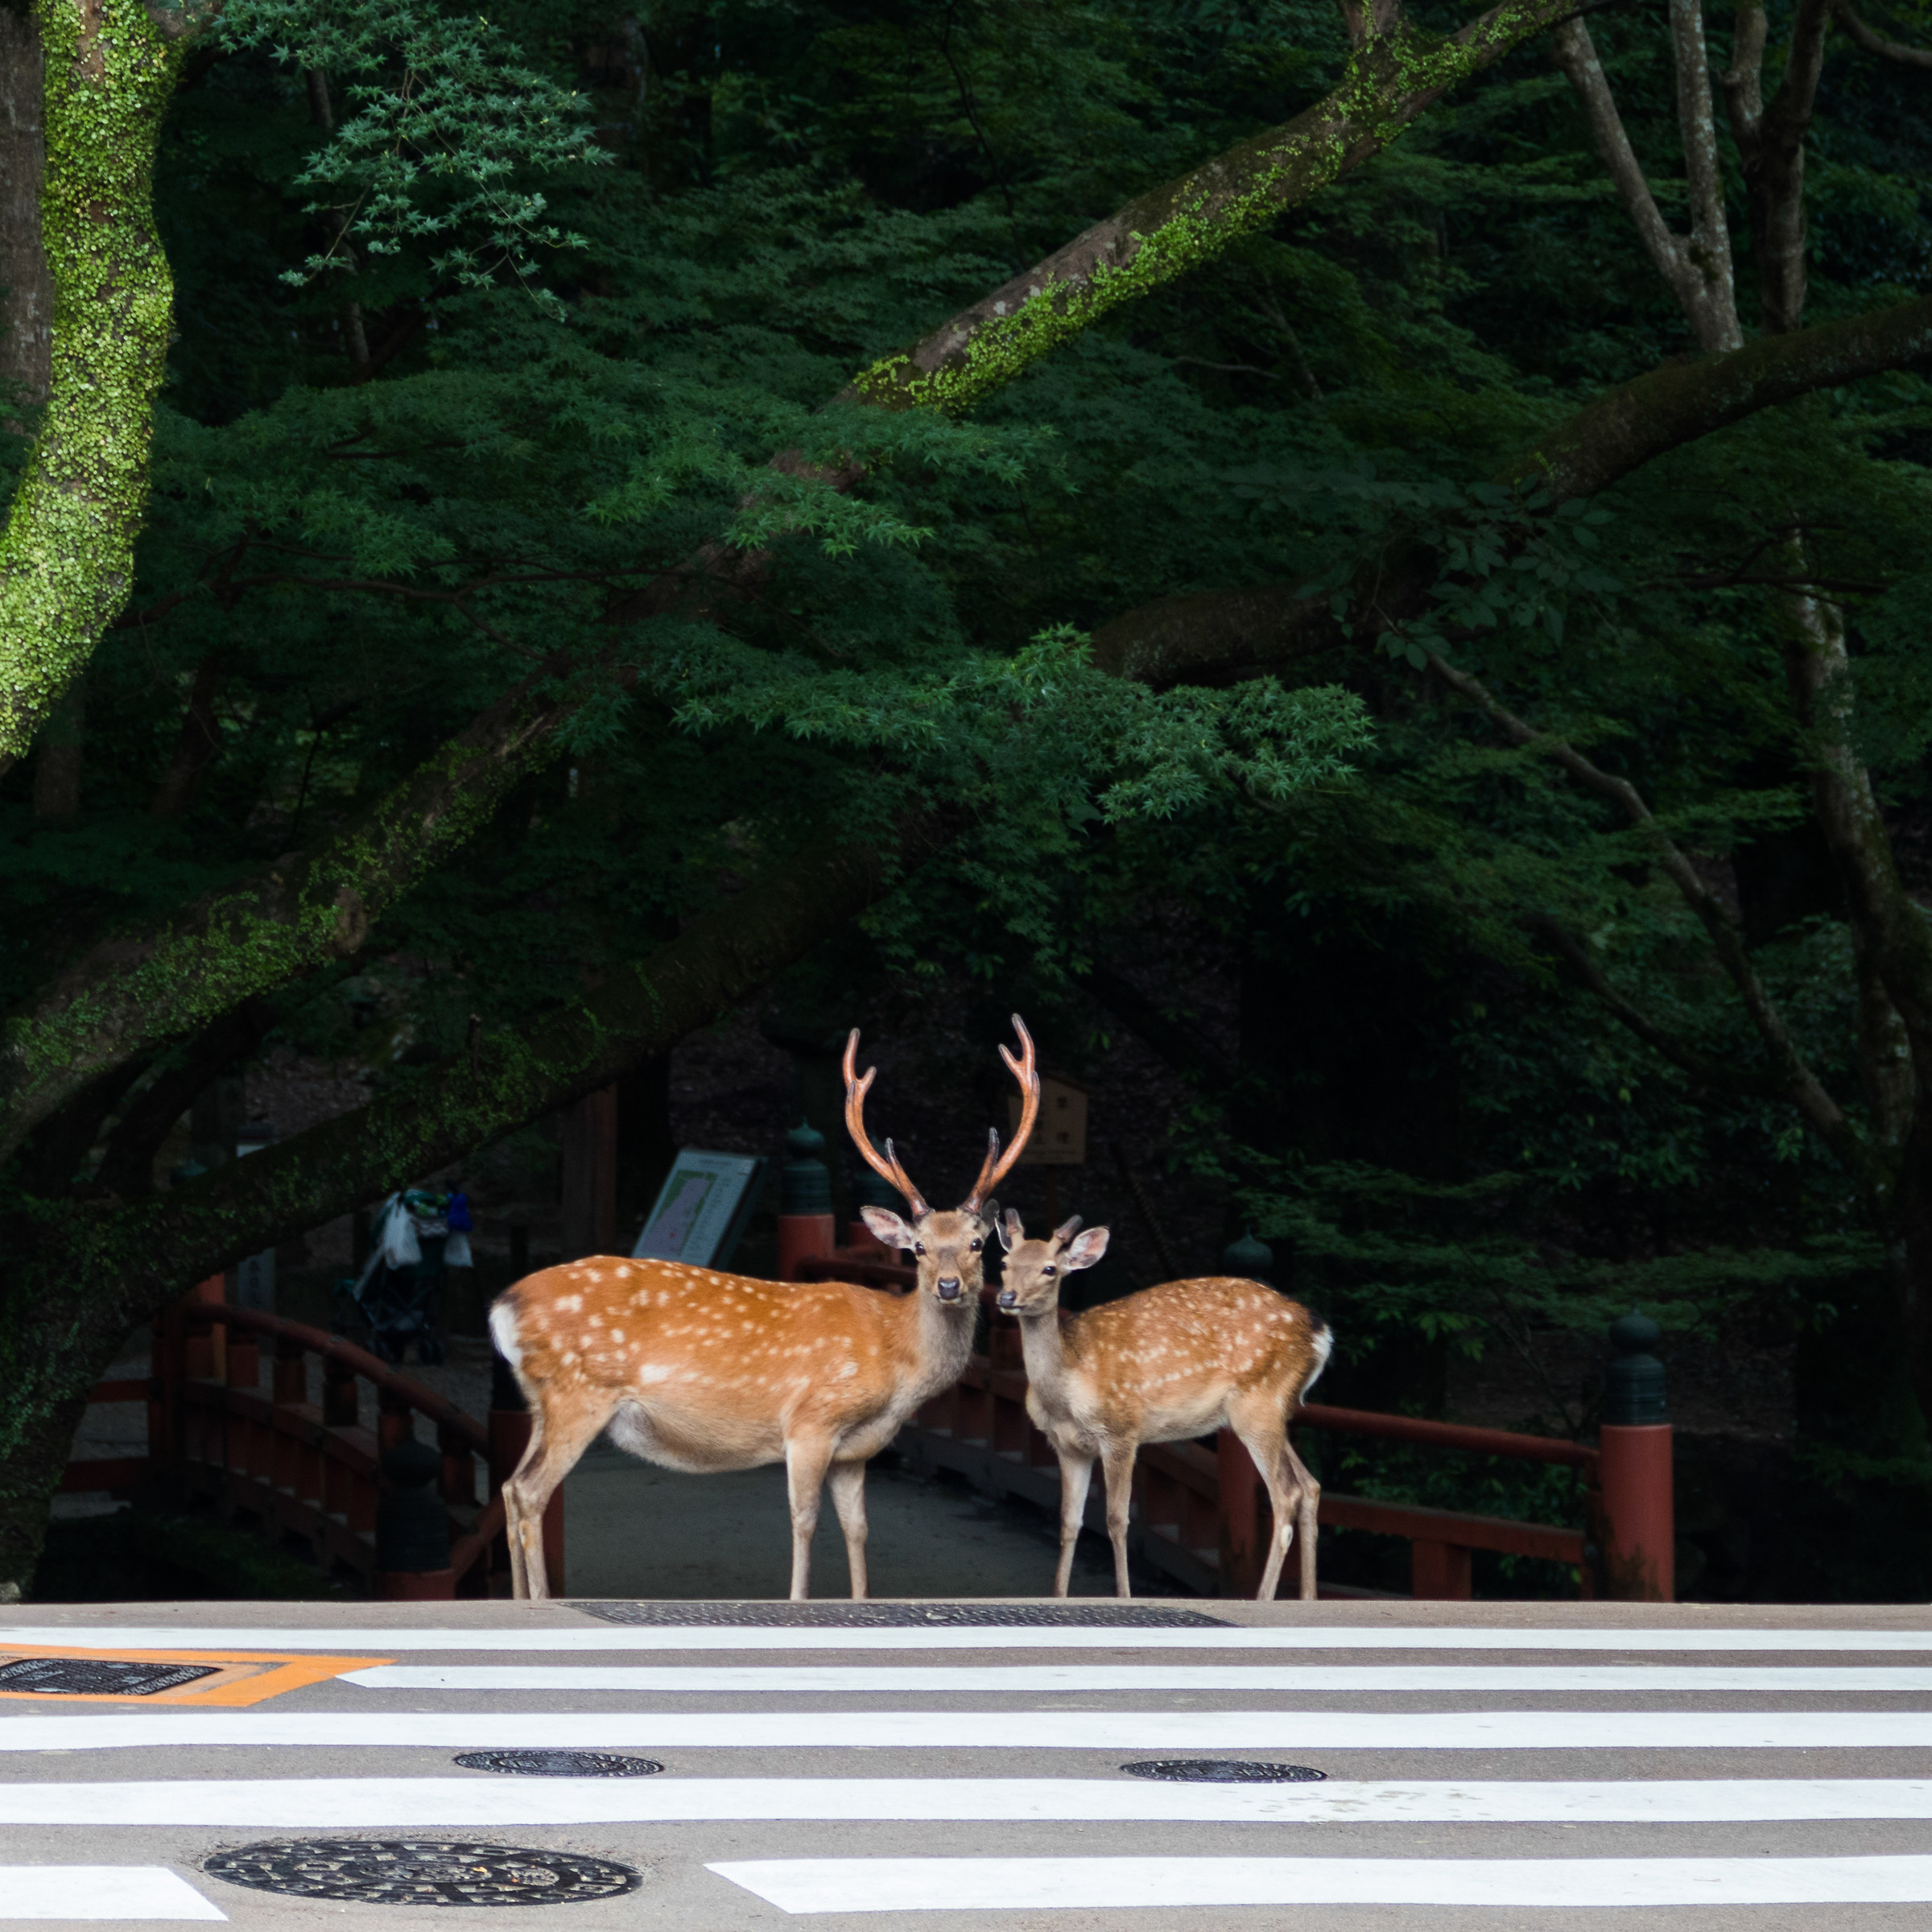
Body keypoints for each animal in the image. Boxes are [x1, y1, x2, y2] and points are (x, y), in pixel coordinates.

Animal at [488, 1016, 1041, 1601]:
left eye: (978, 1243)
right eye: (917, 1248)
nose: (950, 1286)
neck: (894, 1359)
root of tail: (502, 1308)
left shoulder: (855, 1452)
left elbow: (858, 1529)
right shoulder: (810, 1421)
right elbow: (803, 1521)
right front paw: (797, 1599)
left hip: (540, 1402)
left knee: (509, 1486)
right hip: (578, 1392)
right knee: (531, 1492)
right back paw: (538, 1602)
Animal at [991, 1211, 1332, 1601]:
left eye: (1050, 1269)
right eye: (1004, 1263)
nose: (1007, 1296)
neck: (1066, 1389)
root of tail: (1321, 1334)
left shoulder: (1121, 1431)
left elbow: (1116, 1520)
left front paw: (1125, 1596)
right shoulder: (1067, 1446)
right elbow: (1069, 1521)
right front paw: (1059, 1597)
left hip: (1258, 1403)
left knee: (1287, 1494)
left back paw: (1262, 1599)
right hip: (1272, 1410)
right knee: (1310, 1485)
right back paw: (1308, 1598)